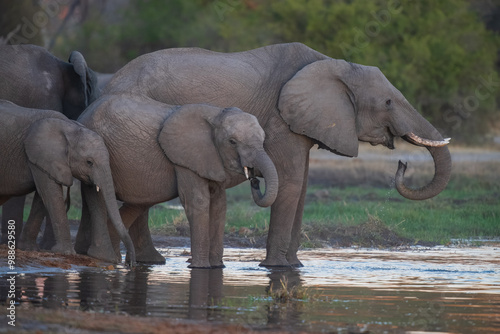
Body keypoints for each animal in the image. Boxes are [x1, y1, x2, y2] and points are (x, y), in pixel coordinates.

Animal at [0, 100, 135, 264]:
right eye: (89, 162)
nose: (130, 264)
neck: (70, 127)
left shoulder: (43, 162)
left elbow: (42, 197)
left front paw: (29, 248)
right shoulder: (39, 155)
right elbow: (51, 195)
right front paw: (66, 252)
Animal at [79, 94, 282, 268]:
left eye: (263, 139)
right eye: (232, 141)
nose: (254, 180)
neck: (216, 115)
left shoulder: (210, 159)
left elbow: (219, 205)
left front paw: (218, 267)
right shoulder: (184, 160)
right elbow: (198, 201)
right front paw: (200, 267)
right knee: (97, 198)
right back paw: (103, 257)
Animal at [102, 42, 454, 266]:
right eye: (388, 103)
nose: (402, 163)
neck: (332, 63)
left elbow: (303, 186)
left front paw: (295, 266)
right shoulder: (281, 120)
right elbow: (292, 182)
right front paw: (276, 268)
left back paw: (150, 261)